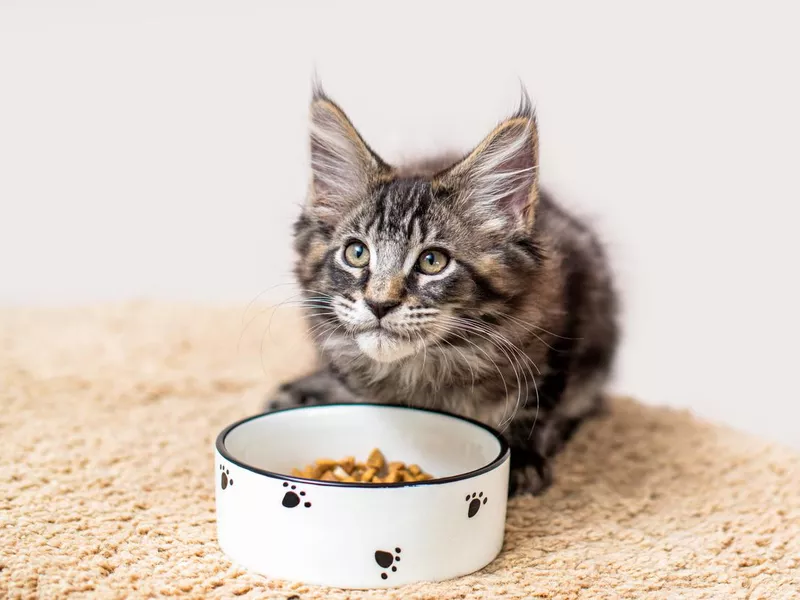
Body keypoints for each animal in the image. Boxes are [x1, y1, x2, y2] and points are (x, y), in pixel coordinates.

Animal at [266, 85, 620, 496]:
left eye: (433, 261)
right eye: (356, 253)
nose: (379, 303)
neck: (425, 371)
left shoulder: (565, 314)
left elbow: (538, 401)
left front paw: (521, 458)